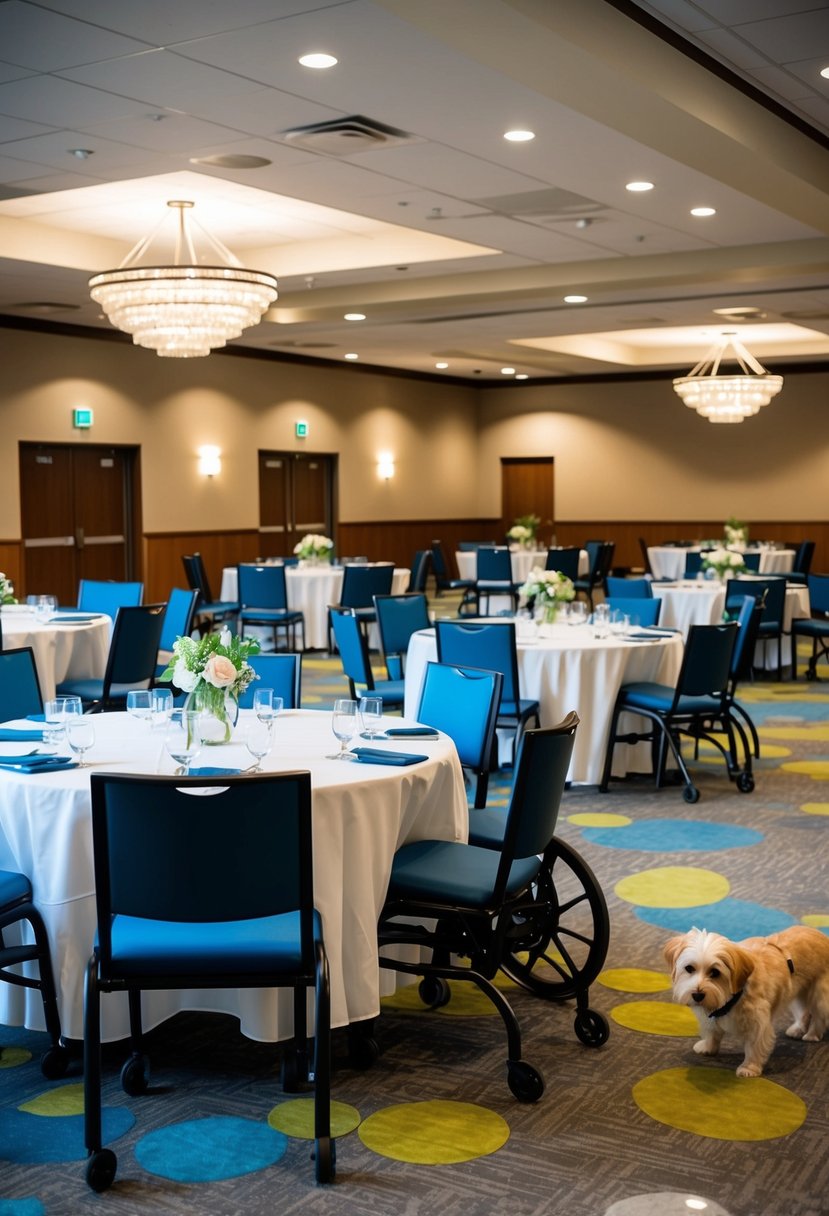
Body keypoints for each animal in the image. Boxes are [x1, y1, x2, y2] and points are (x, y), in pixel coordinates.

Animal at [661, 919, 826, 1074]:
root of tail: (820, 934)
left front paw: (749, 1068)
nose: (697, 995)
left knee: (819, 1017)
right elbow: (712, 1033)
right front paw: (708, 1047)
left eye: (715, 972)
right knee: (804, 1011)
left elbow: (754, 1046)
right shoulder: (710, 1018)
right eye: (689, 968)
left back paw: (812, 1034)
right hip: (797, 994)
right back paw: (797, 1029)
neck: (732, 997)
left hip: (819, 996)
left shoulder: (758, 1023)